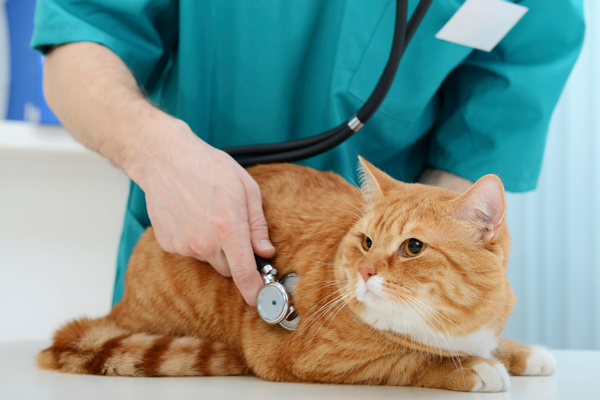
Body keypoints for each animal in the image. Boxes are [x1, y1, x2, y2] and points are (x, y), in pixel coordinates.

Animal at [37, 158, 556, 392]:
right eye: (366, 242)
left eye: (413, 248)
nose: (365, 271)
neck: (448, 321)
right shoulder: (320, 360)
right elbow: (410, 359)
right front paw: (474, 369)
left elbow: (494, 343)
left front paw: (525, 354)